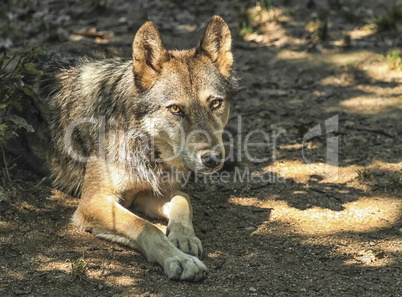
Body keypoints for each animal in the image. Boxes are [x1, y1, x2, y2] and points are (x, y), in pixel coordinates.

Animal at [33, 16, 239, 280]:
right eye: (175, 109)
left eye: (215, 103)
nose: (212, 159)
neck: (143, 144)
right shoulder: (92, 202)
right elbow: (146, 227)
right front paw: (179, 259)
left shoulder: (143, 194)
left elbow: (183, 198)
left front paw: (184, 237)